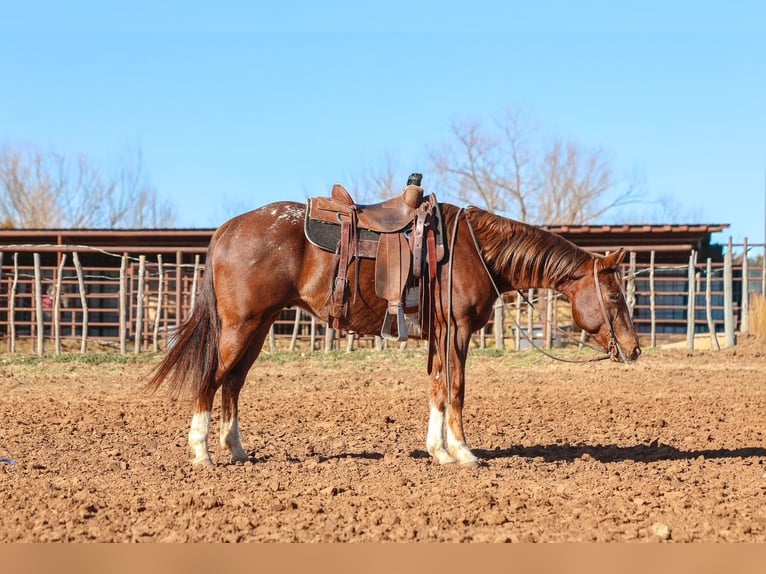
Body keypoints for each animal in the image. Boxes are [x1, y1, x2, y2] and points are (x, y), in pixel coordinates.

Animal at [147, 197, 641, 467]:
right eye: (615, 296)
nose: (634, 350)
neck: (473, 250)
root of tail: (225, 230)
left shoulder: (441, 335)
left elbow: (437, 389)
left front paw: (438, 451)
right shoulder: (458, 331)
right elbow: (456, 389)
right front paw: (465, 454)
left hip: (259, 326)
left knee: (232, 382)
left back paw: (237, 450)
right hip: (241, 326)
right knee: (211, 379)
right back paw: (202, 453)